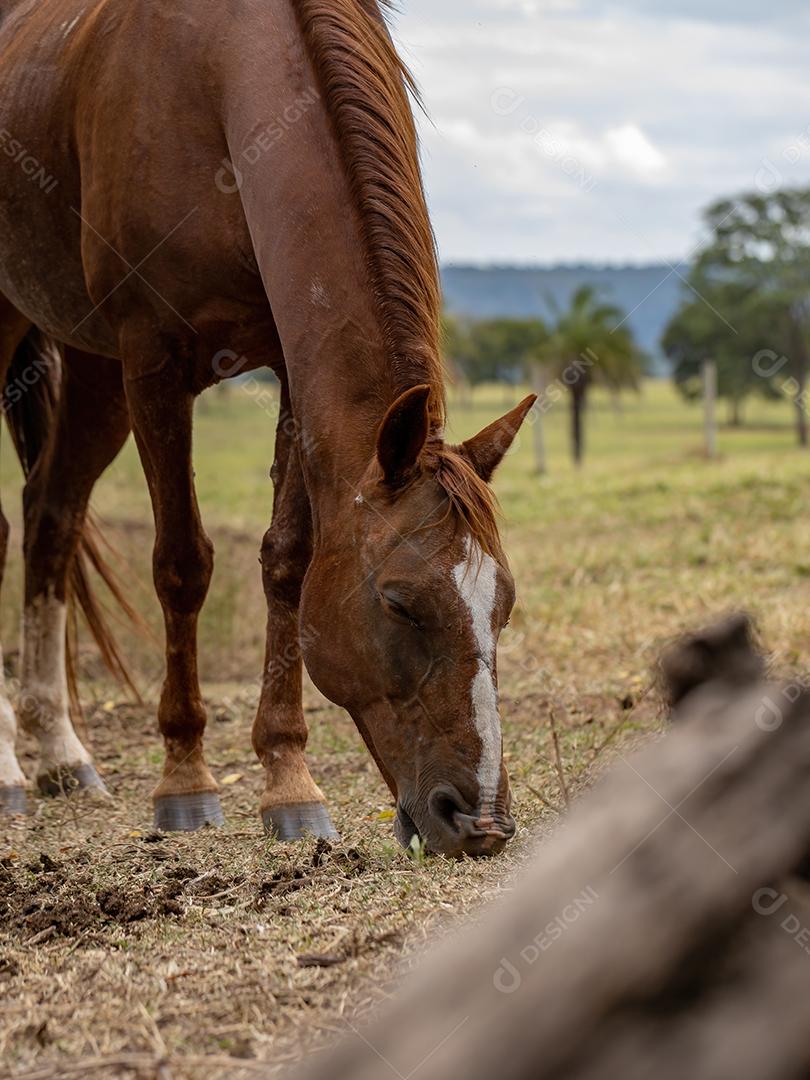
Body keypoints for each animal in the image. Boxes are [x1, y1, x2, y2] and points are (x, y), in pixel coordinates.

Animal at [0, 0, 535, 857]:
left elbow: (287, 561)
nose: (480, 821)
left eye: (504, 607)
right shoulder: (153, 360)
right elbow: (181, 564)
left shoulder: (286, 361)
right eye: (399, 603)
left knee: (50, 517)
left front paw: (288, 781)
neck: (218, 79)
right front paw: (185, 778)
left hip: (90, 370)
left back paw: (58, 755)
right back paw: (11, 769)